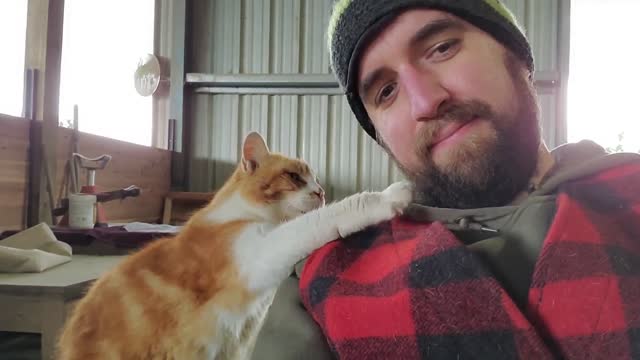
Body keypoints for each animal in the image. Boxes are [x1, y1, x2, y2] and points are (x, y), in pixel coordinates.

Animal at [56, 131, 416, 358]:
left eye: (316, 181)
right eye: (295, 178)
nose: (322, 192)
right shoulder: (260, 256)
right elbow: (329, 216)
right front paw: (388, 197)